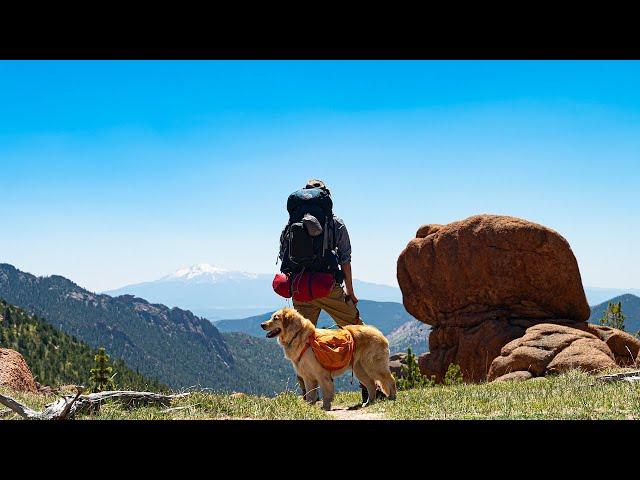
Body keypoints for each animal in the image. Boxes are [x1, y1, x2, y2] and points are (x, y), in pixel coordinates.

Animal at [260, 308, 396, 408]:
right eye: (272, 317)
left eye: (275, 318)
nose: (262, 324)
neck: (297, 335)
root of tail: (380, 333)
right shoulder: (308, 376)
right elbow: (310, 394)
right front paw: (309, 407)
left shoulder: (321, 374)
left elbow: (326, 392)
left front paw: (325, 406)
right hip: (360, 370)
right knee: (372, 384)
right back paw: (368, 402)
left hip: (373, 366)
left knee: (390, 379)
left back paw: (392, 398)